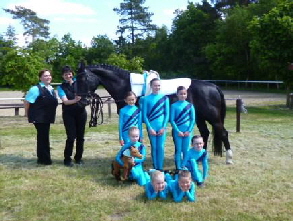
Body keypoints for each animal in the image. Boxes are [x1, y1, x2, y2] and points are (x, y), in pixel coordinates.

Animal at [76, 63, 233, 163]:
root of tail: (213, 86)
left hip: (213, 118)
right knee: (204, 133)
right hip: (200, 117)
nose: (82, 101)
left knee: (223, 133)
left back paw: (229, 159)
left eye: (83, 78)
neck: (127, 86)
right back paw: (199, 156)